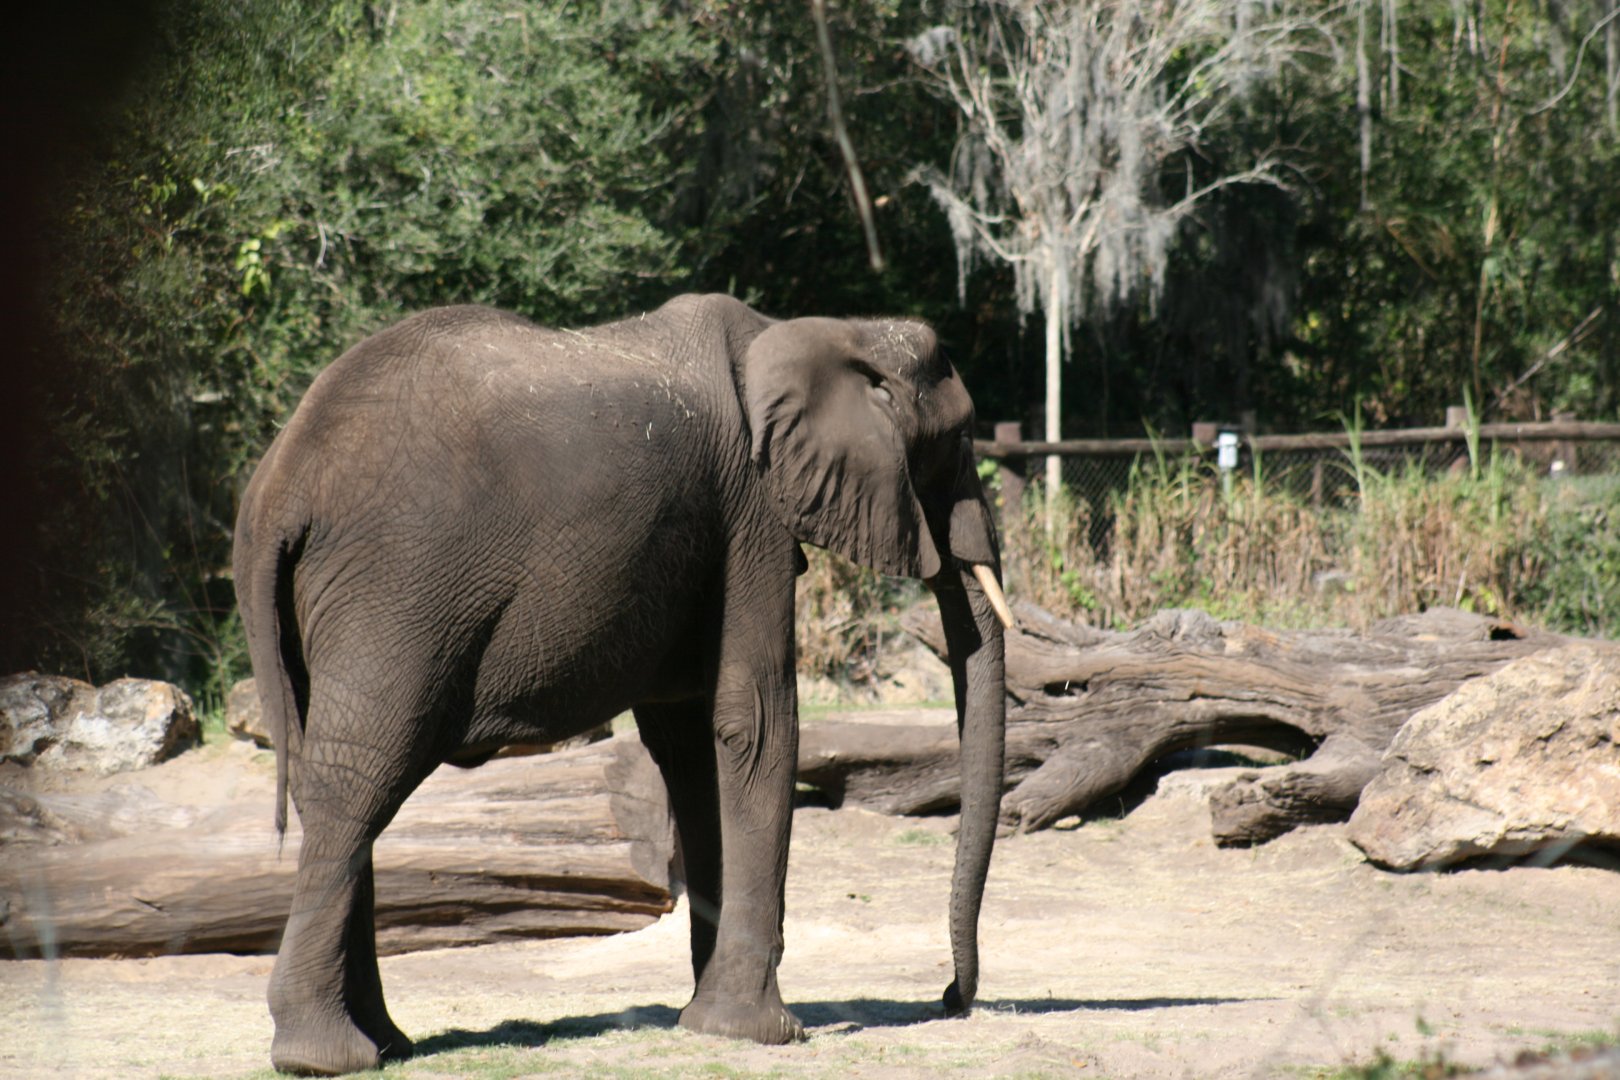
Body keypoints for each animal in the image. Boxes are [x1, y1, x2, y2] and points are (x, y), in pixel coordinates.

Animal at [232, 293, 1009, 1075]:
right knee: (358, 778)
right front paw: (760, 1033)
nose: (951, 996)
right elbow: (755, 722)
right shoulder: (750, 510)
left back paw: (387, 1044)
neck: (818, 331)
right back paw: (325, 1055)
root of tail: (280, 486)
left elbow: (691, 742)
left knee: (329, 783)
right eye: (958, 439)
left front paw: (703, 1021)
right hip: (397, 594)